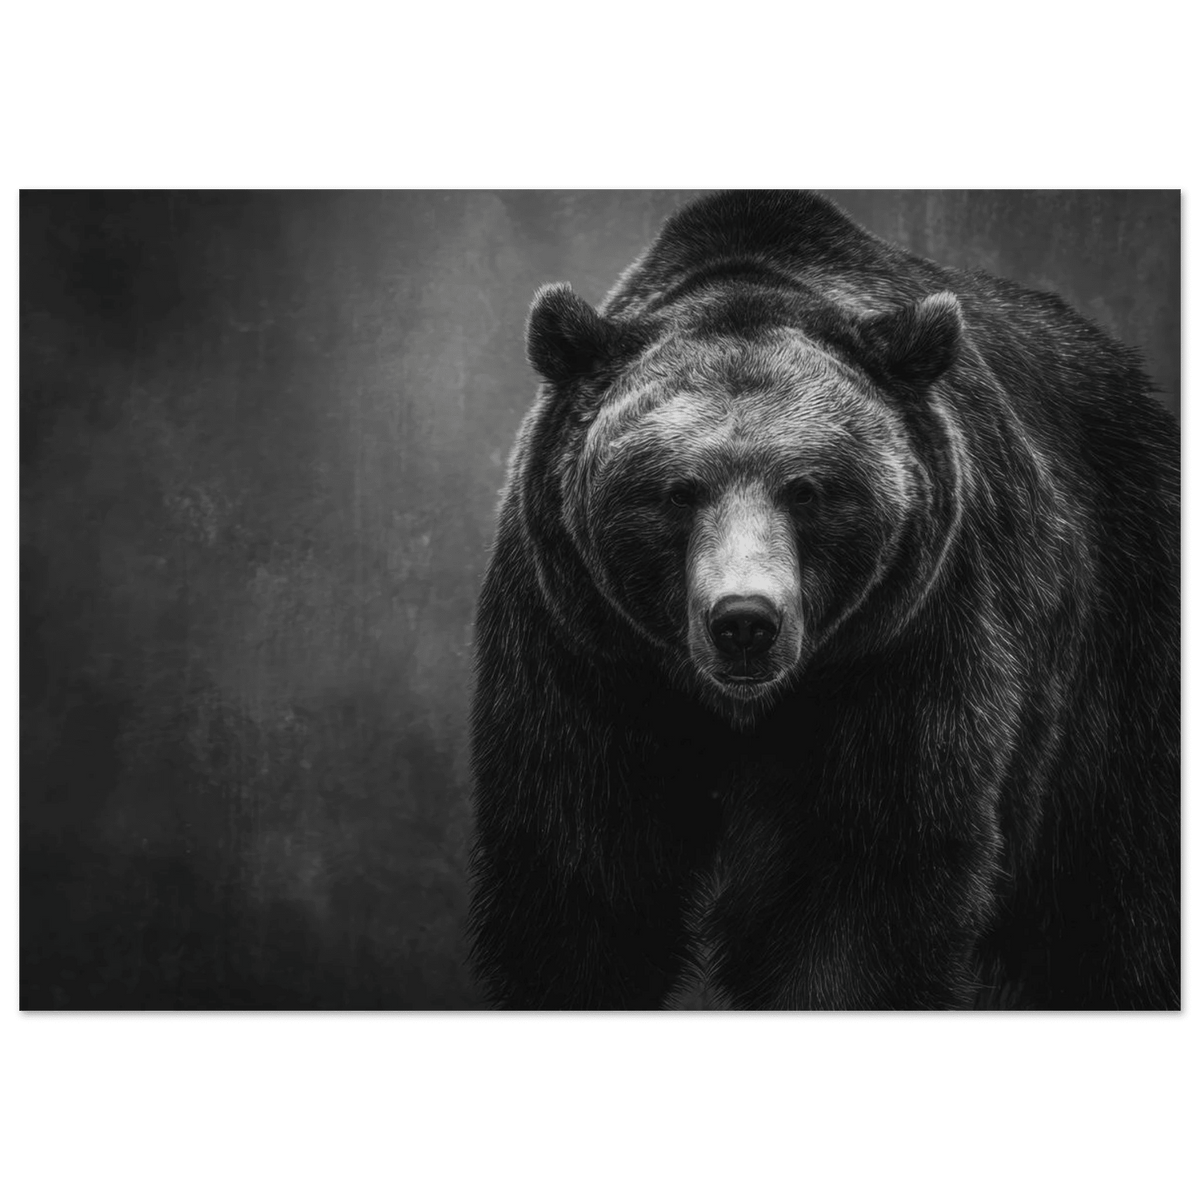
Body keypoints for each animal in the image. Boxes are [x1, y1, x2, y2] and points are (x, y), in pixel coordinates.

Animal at [468, 190, 1181, 1011]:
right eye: (677, 491)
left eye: (807, 489)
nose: (745, 622)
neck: (741, 711)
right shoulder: (582, 649)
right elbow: (580, 875)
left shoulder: (906, 646)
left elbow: (859, 886)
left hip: (1121, 638)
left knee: (1118, 888)